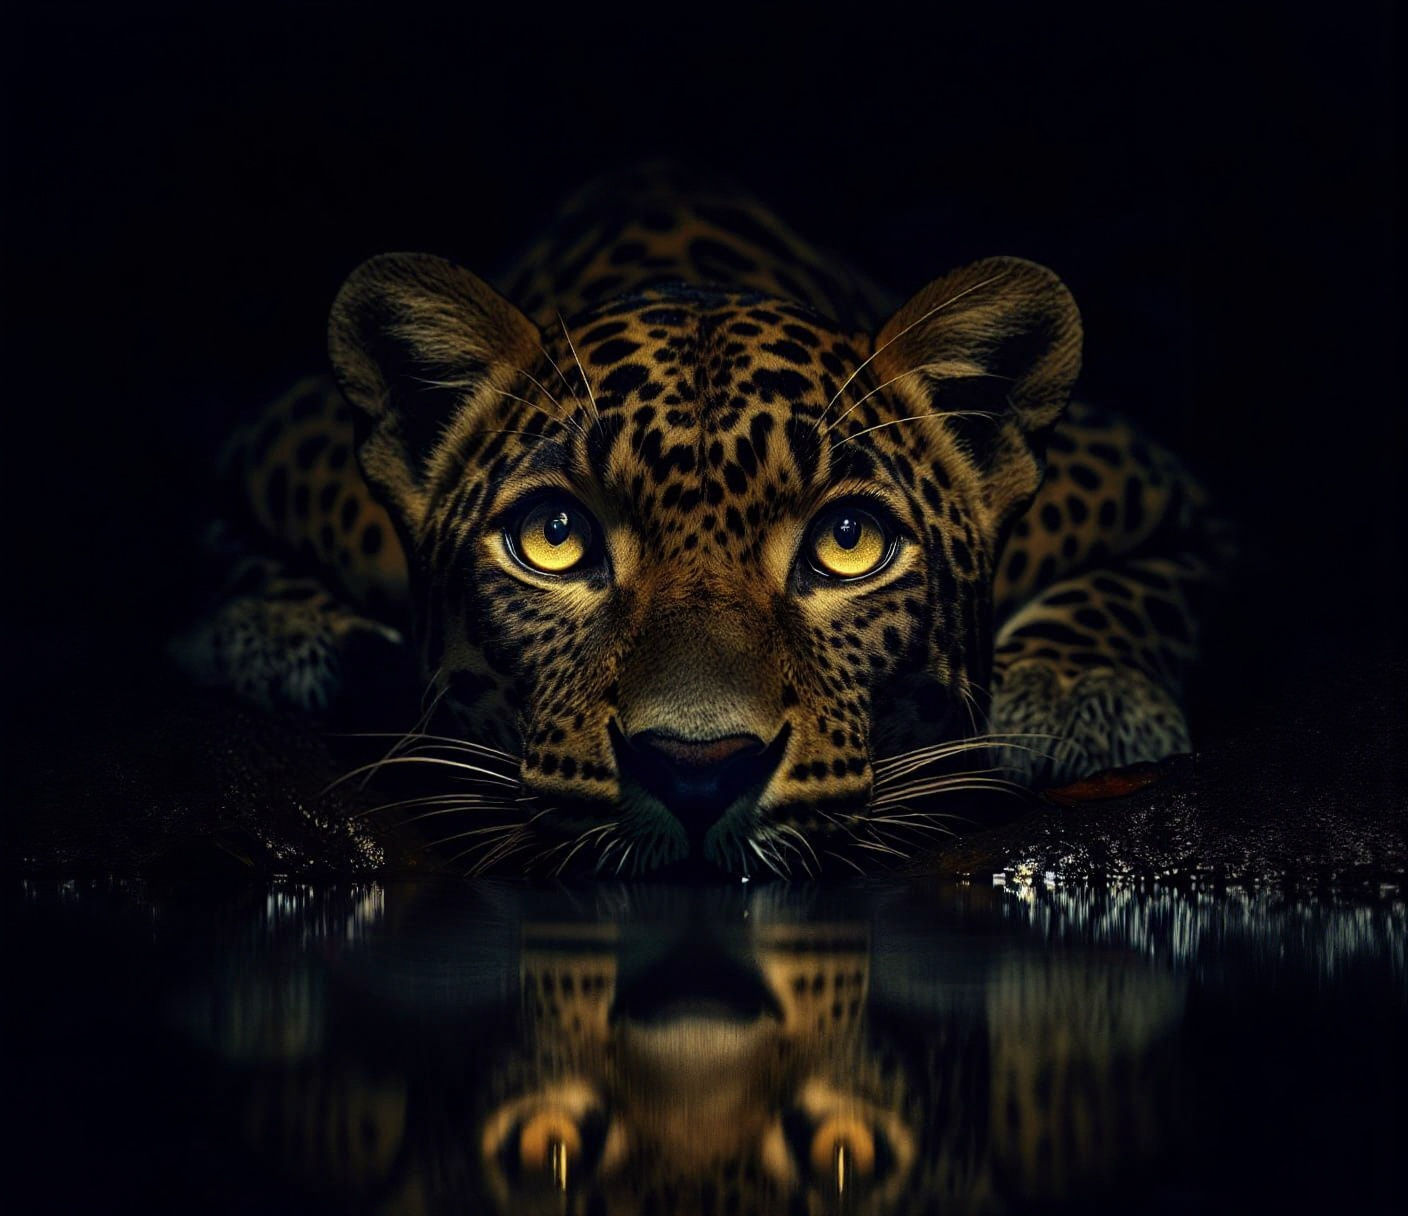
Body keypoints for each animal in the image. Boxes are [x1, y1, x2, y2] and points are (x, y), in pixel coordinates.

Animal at [173, 165, 1229, 876]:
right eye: (555, 537)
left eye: (849, 544)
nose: (696, 767)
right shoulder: (267, 453)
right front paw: (276, 633)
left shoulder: (1166, 492)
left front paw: (1075, 693)